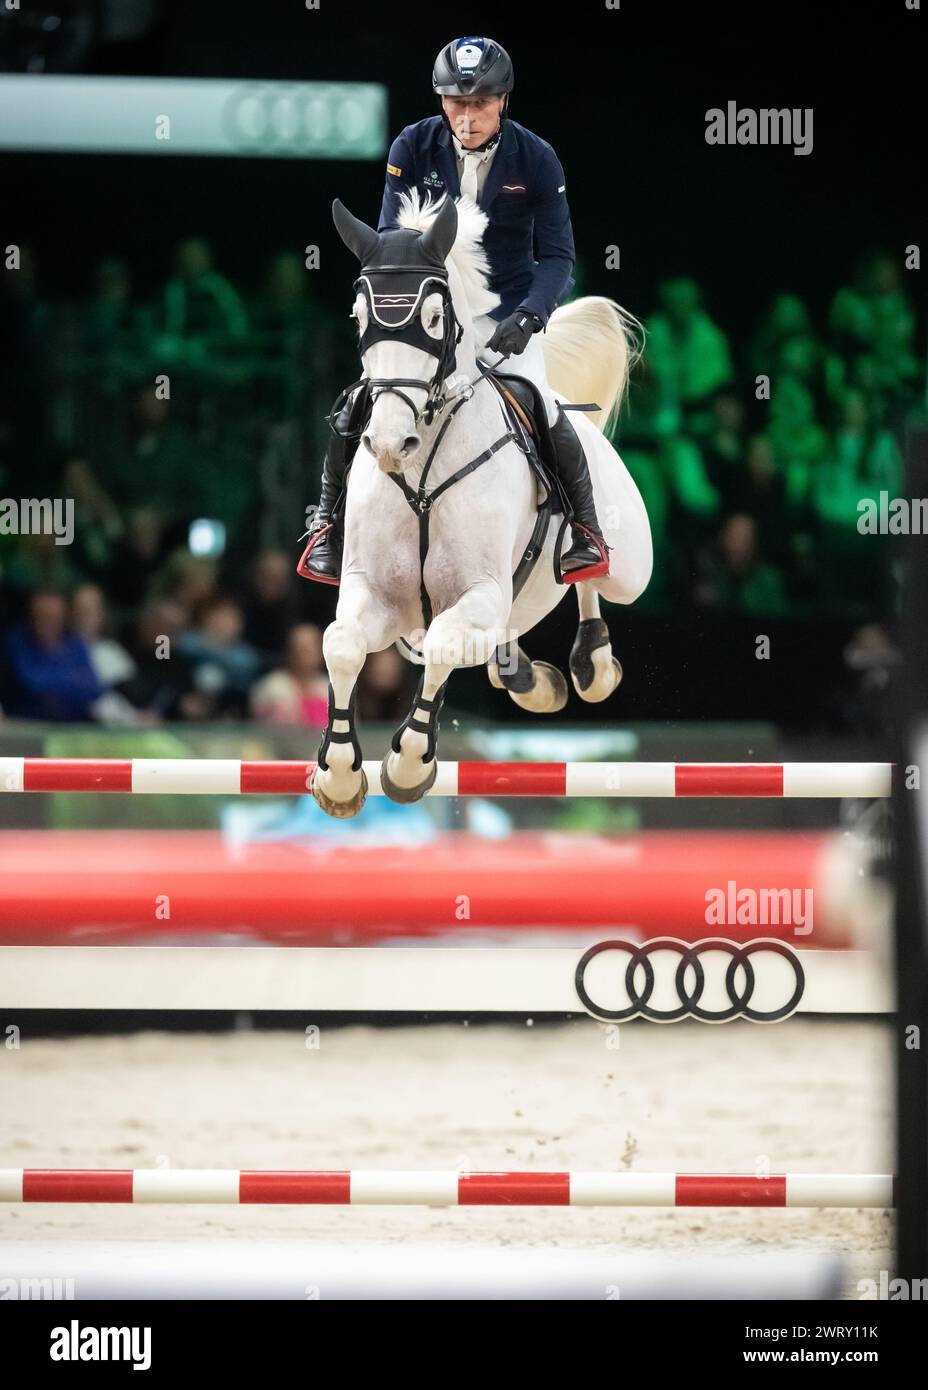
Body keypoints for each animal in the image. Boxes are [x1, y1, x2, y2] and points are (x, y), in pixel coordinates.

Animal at [311, 186, 652, 811]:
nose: (390, 444)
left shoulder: (480, 595)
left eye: (433, 318)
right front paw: (339, 776)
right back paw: (532, 679)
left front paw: (408, 765)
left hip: (630, 569)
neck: (424, 469)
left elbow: (445, 644)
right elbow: (342, 643)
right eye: (359, 318)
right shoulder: (378, 596)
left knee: (595, 578)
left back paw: (591, 660)